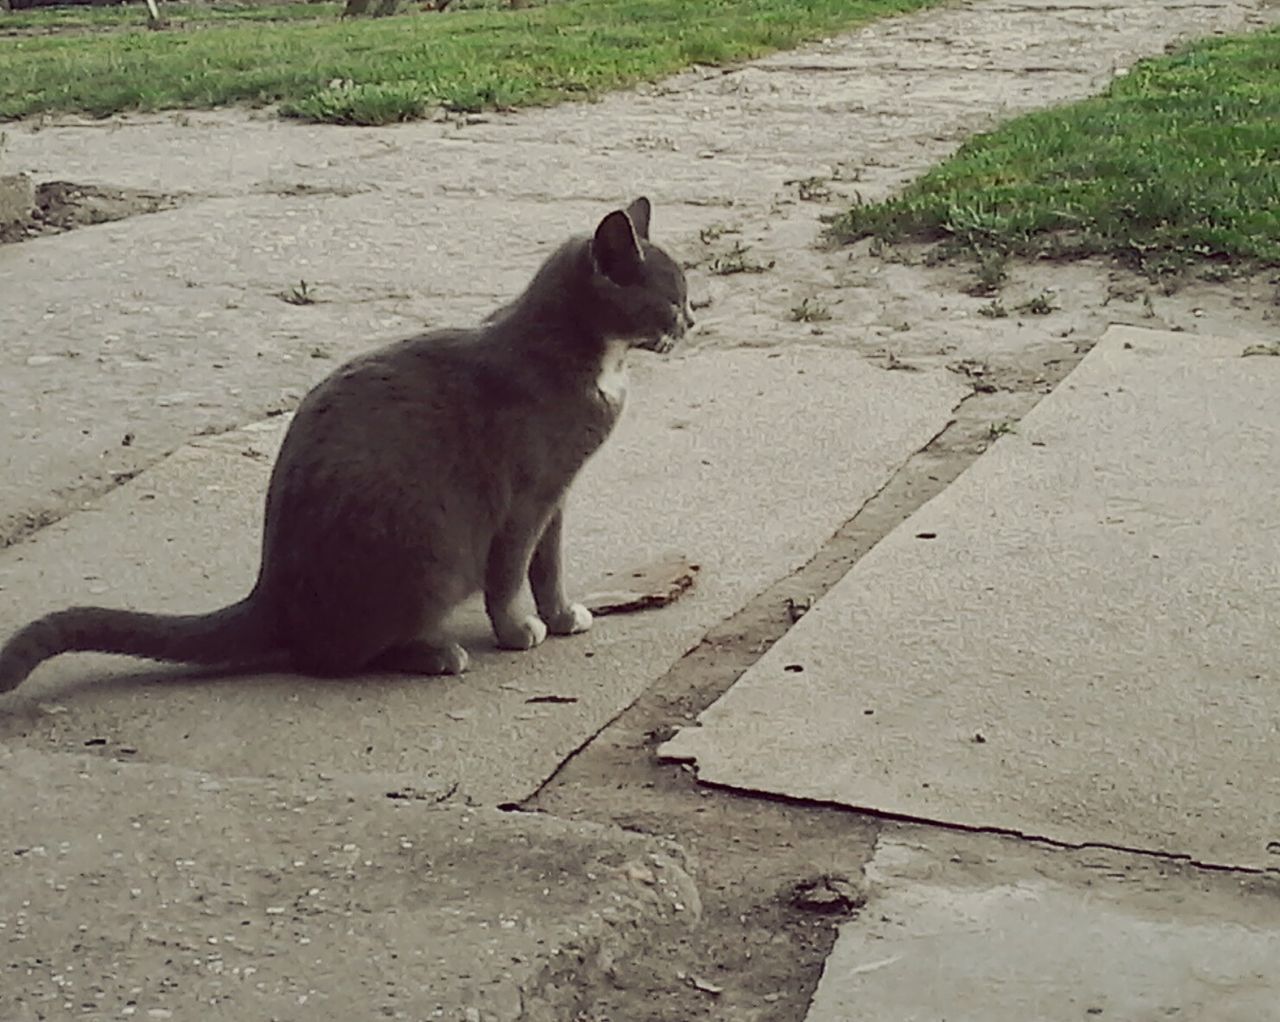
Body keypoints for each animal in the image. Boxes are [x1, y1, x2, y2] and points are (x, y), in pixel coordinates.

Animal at [0, 198, 691, 696]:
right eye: (673, 298)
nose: (693, 320)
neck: (594, 361)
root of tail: (271, 596)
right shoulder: (527, 499)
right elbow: (510, 572)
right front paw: (520, 629)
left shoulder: (558, 496)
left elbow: (547, 566)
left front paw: (564, 613)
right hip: (429, 556)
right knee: (332, 658)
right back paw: (436, 653)